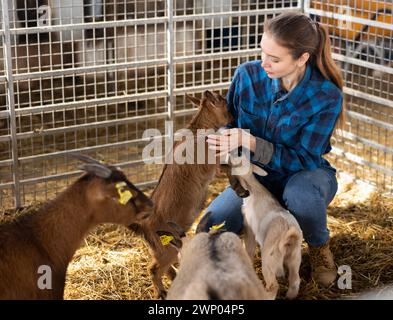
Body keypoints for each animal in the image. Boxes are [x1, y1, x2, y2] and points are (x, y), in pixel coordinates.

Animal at [129, 89, 233, 298]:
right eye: (223, 100)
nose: (234, 115)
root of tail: (143, 224)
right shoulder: (212, 164)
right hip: (166, 247)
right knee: (154, 268)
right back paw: (161, 292)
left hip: (162, 248)